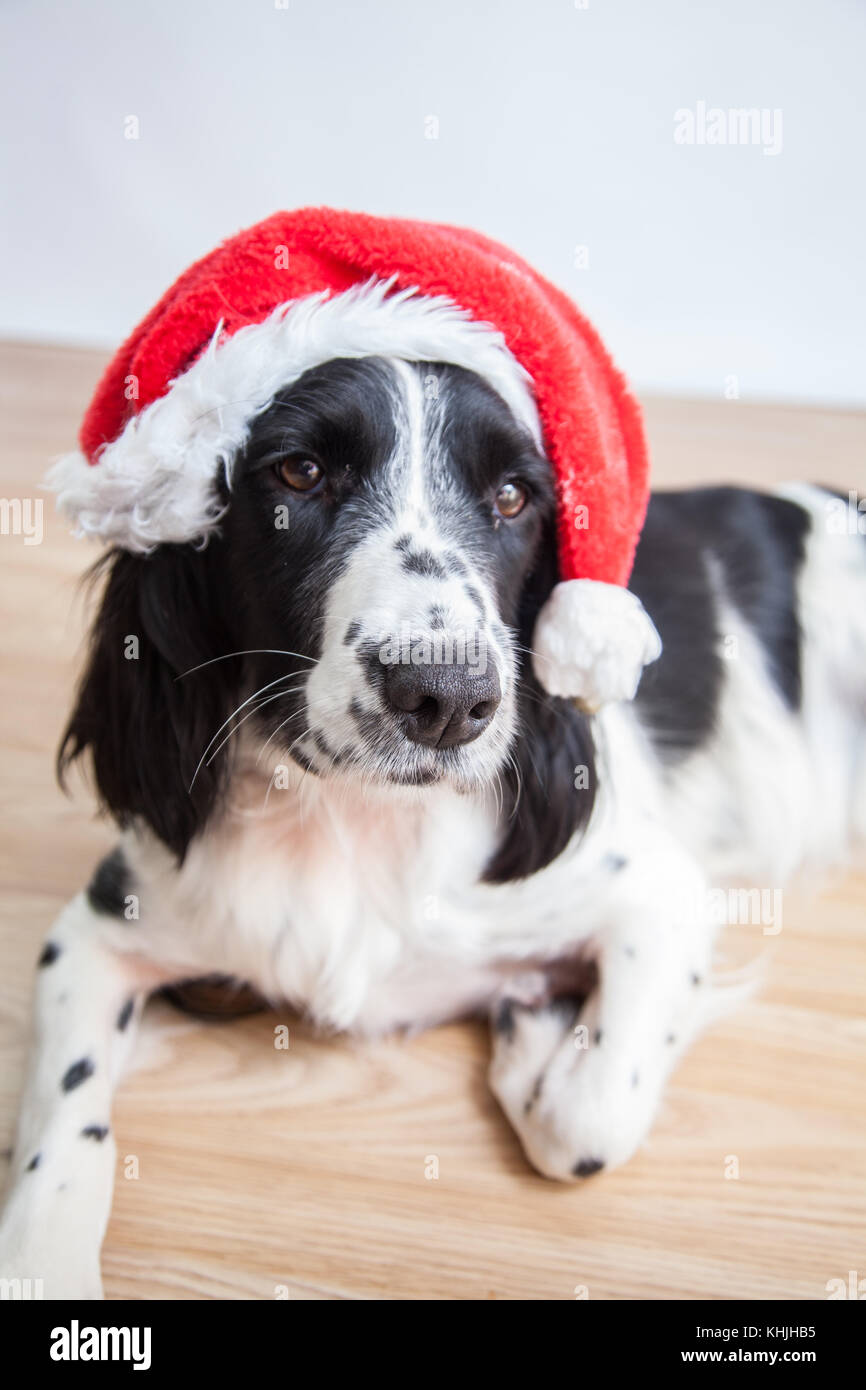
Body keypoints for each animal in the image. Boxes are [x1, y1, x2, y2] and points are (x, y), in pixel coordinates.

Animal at [1, 330, 866, 1295]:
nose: (447, 697)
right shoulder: (98, 927)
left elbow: (589, 1118)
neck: (352, 818)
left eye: (514, 496)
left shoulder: (657, 892)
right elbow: (61, 1126)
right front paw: (43, 1262)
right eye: (299, 472)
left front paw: (536, 1035)